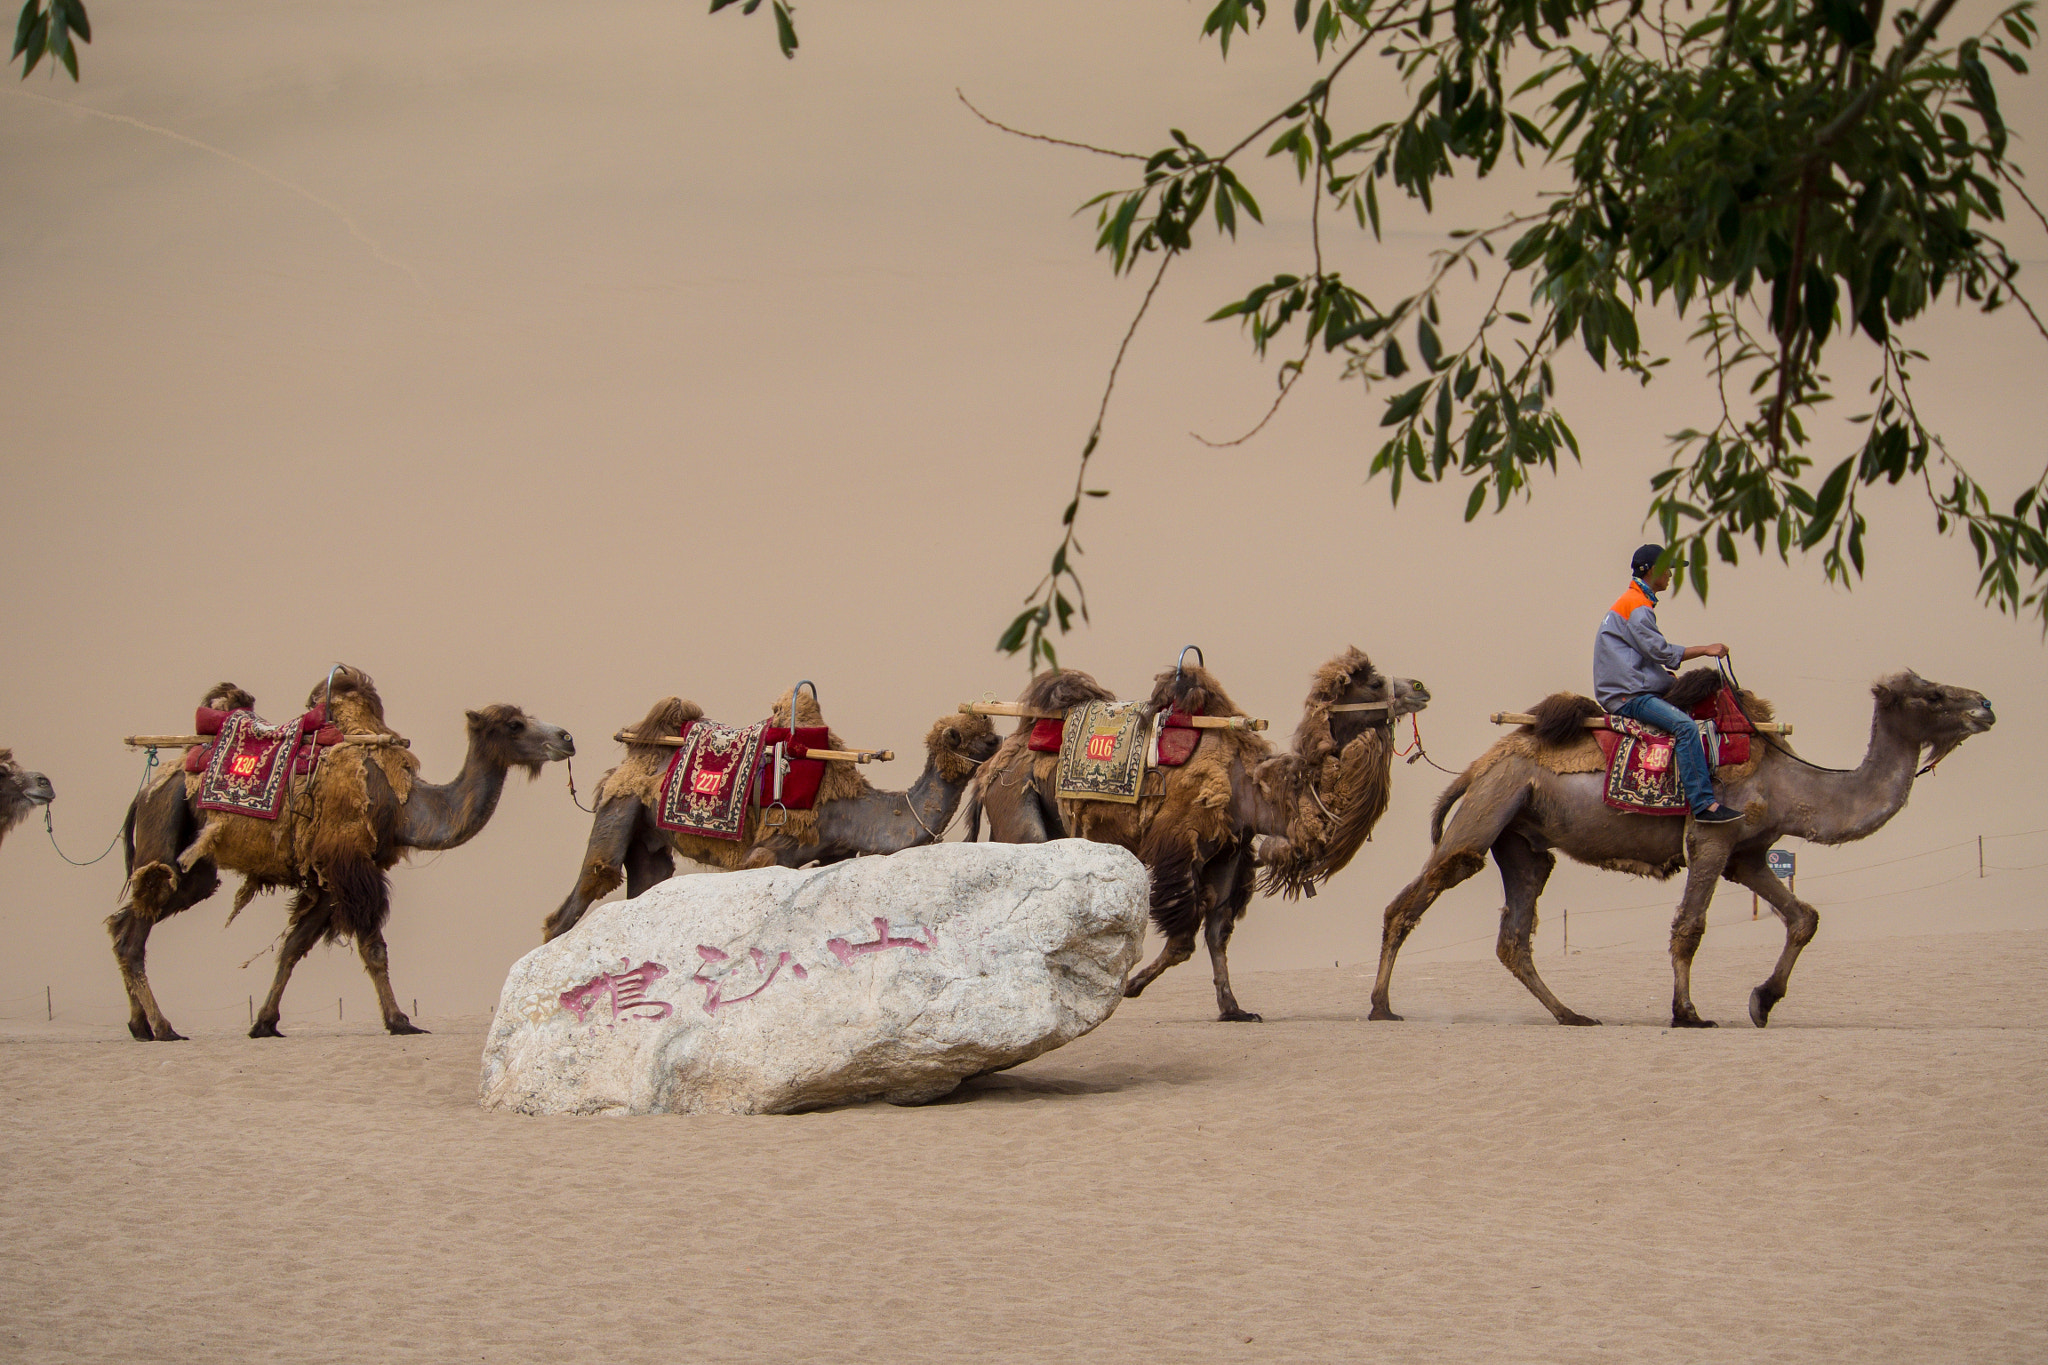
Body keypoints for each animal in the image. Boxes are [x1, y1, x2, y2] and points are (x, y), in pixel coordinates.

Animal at [110, 668, 574, 1041]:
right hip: (163, 827)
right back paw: (164, 1028)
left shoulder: (327, 875)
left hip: (193, 867)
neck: (405, 805)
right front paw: (400, 1020)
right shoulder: (349, 862)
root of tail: (145, 792)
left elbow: (293, 946)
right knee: (134, 934)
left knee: (125, 923)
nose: (566, 737)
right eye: (514, 724)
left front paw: (264, 1022)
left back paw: (139, 1025)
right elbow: (373, 948)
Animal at [541, 690, 1000, 941]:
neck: (853, 806)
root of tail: (624, 765)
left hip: (647, 838)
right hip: (618, 810)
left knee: (646, 882)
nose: (1002, 740)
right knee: (586, 886)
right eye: (984, 738)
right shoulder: (769, 850)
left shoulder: (833, 852)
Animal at [969, 649, 1430, 1021]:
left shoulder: (1227, 853)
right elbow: (1182, 941)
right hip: (1019, 812)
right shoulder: (1179, 846)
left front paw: (1234, 1009)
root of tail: (994, 764)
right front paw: (1130, 986)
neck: (1251, 787)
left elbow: (1216, 933)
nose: (1421, 687)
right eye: (1374, 682)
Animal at [1371, 669, 1995, 1028]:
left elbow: (1803, 916)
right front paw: (1688, 1013)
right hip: (1486, 813)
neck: (1790, 785)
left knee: (1514, 934)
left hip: (1522, 839)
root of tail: (1480, 764)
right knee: (1412, 898)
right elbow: (1690, 927)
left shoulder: (1749, 854)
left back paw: (1572, 1014)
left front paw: (1762, 1001)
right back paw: (1381, 1006)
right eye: (1932, 694)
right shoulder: (1712, 836)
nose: (1985, 706)